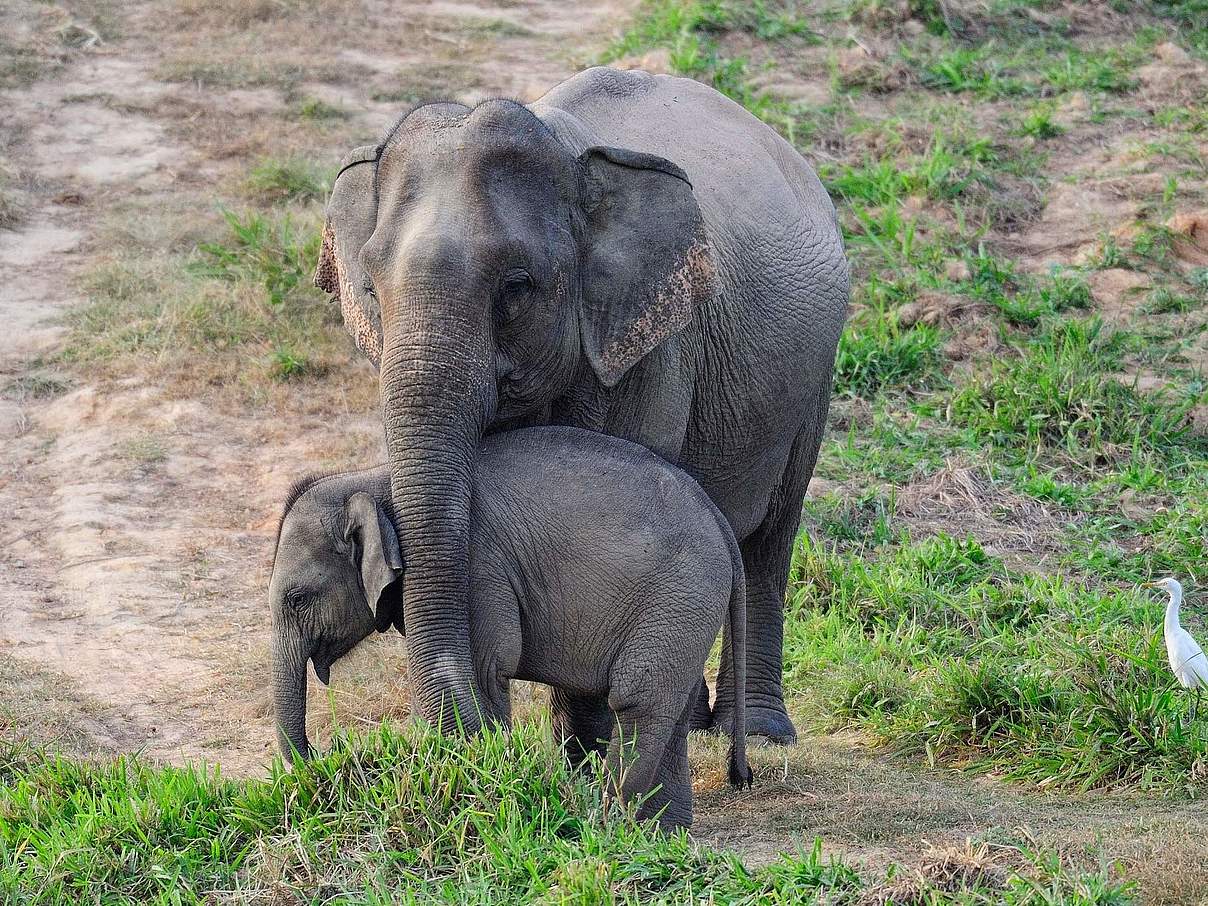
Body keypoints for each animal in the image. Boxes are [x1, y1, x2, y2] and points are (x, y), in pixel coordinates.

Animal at [269, 425, 748, 831]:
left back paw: (607, 826)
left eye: (299, 598)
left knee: (638, 702)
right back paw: (663, 834)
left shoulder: (476, 572)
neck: (377, 482)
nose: (325, 755)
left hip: (679, 597)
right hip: (686, 611)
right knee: (673, 709)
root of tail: (721, 522)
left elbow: (487, 670)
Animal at [314, 65, 850, 744]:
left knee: (769, 540)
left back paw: (753, 731)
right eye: (371, 284)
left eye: (516, 285)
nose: (464, 732)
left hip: (814, 376)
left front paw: (584, 746)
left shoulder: (653, 354)